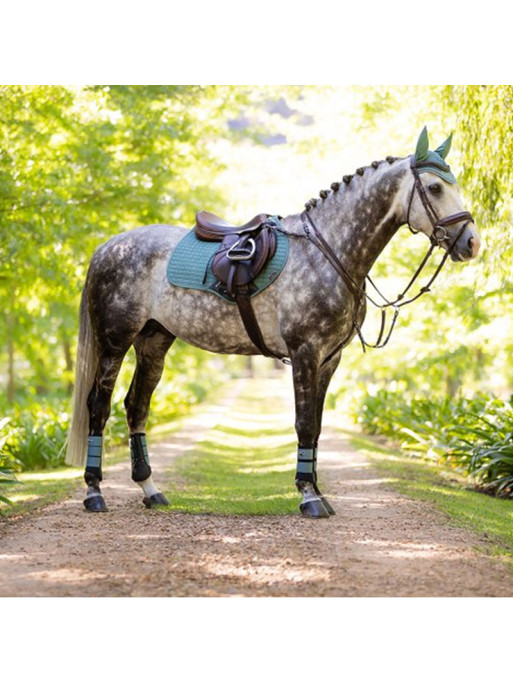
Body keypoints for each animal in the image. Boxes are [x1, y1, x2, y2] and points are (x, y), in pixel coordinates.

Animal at [65, 130, 480, 520]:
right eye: (435, 187)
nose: (472, 243)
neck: (328, 250)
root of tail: (108, 246)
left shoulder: (329, 359)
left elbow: (317, 425)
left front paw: (317, 492)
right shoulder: (305, 353)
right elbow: (304, 424)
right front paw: (309, 496)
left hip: (153, 342)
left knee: (136, 407)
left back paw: (151, 490)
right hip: (115, 342)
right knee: (99, 406)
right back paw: (94, 492)